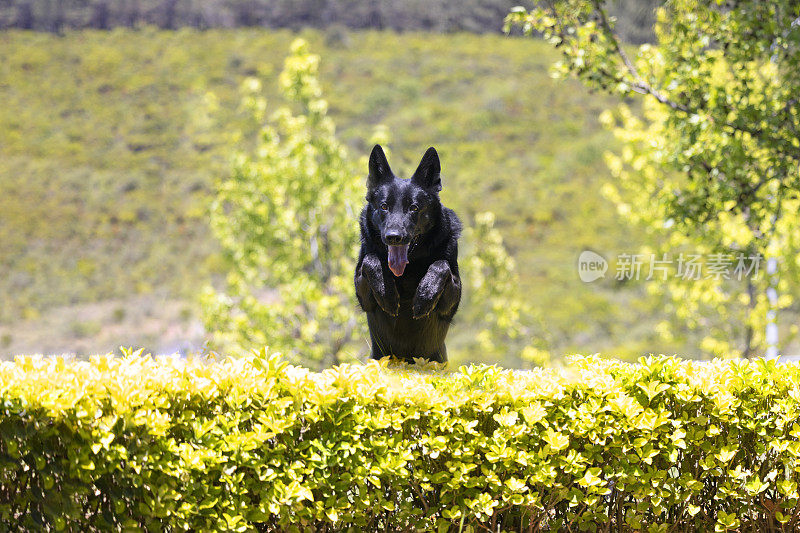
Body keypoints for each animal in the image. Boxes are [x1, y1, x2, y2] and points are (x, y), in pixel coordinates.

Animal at [356, 145, 462, 362]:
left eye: (413, 208)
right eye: (384, 206)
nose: (393, 237)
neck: (409, 265)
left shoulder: (450, 302)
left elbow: (441, 265)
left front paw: (424, 296)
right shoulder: (365, 298)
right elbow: (371, 260)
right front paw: (386, 293)